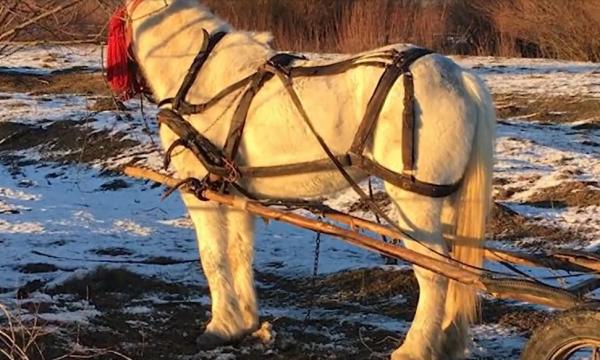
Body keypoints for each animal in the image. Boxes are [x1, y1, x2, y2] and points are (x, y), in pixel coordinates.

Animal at [124, 1, 494, 358]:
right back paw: (448, 341)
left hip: (415, 202)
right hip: (446, 200)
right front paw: (243, 323)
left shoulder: (199, 192)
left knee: (434, 272)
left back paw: (415, 348)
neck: (199, 72)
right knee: (456, 270)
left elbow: (212, 257)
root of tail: (462, 78)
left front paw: (220, 326)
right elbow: (240, 252)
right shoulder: (235, 193)